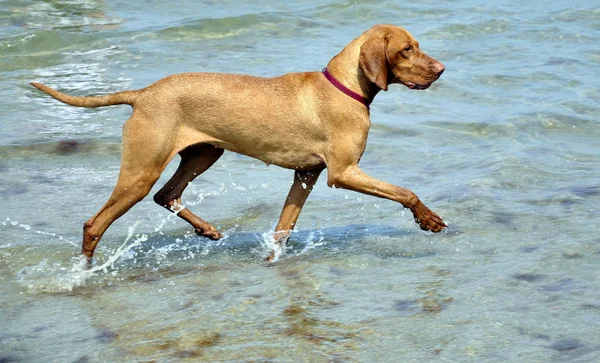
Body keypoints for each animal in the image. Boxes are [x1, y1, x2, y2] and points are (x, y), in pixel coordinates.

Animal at [31, 24, 446, 262]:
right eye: (407, 49)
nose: (442, 70)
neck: (344, 86)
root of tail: (144, 93)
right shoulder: (342, 173)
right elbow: (406, 191)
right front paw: (428, 219)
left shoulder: (306, 176)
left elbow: (283, 228)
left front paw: (272, 262)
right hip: (141, 170)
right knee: (95, 224)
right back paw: (83, 272)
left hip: (203, 153)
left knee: (167, 195)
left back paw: (207, 230)